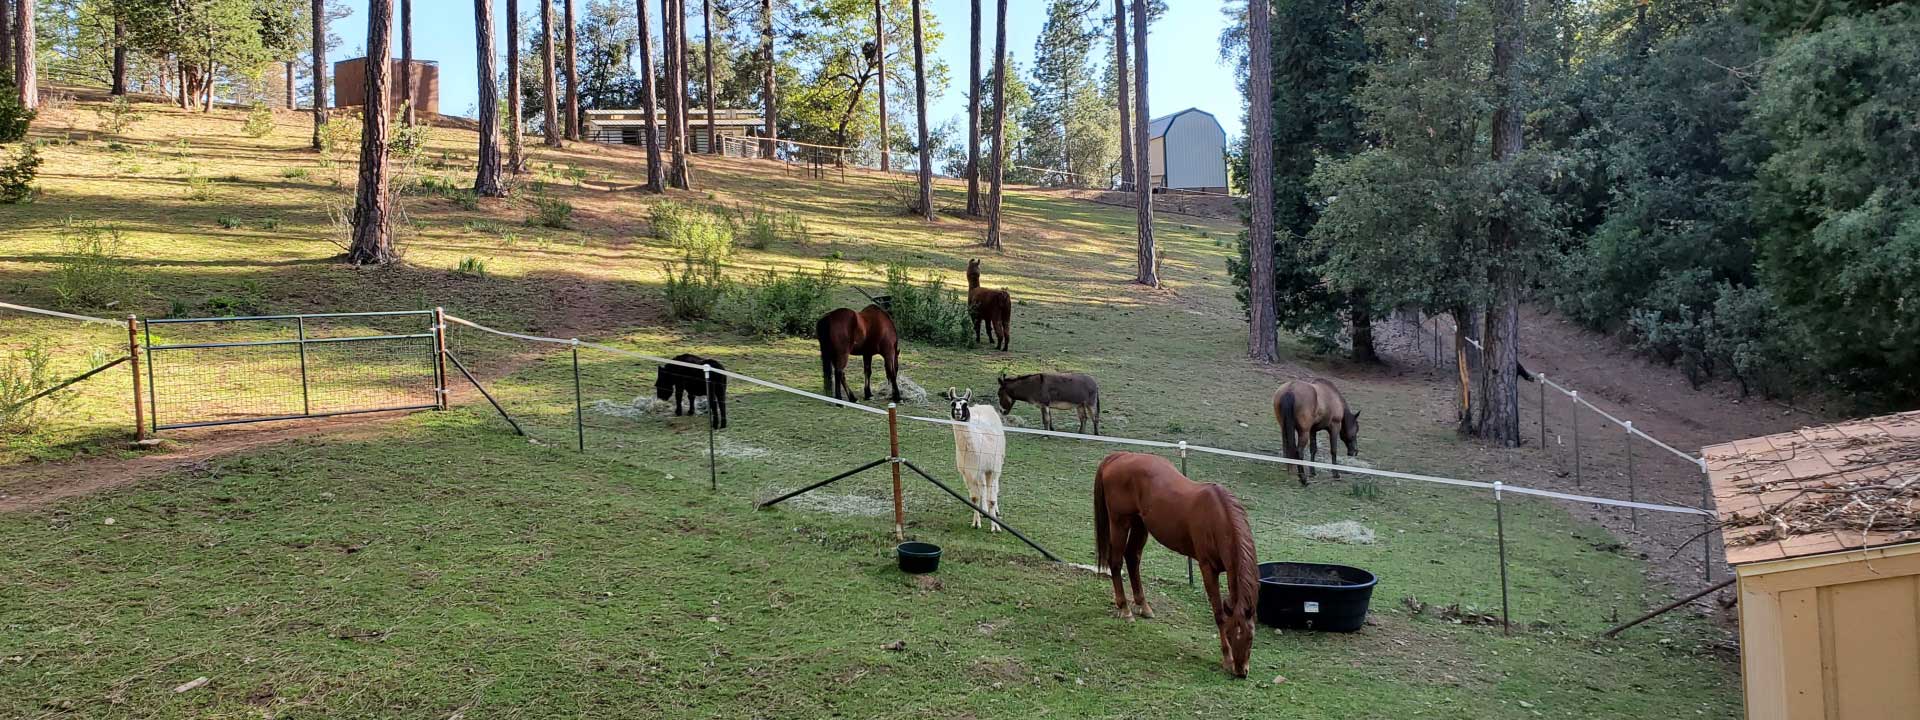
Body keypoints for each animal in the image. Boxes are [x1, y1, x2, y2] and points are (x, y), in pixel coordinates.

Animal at [944, 389, 1006, 529]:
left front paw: (995, 526)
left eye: (964, 404)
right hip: (979, 472)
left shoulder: (992, 469)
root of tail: (982, 406)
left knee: (993, 488)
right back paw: (984, 510)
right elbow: (974, 498)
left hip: (996, 464)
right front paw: (976, 523)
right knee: (983, 488)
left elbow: (992, 499)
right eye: (952, 404)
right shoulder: (968, 473)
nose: (958, 411)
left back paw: (995, 511)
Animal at [1098, 453, 1259, 679]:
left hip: (1140, 524)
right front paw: (1227, 659)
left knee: (1132, 558)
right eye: (1230, 633)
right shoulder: (1208, 568)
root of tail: (1120, 456)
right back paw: (1125, 609)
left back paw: (1143, 606)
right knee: (1116, 561)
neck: (1218, 517)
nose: (1241, 671)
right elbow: (1218, 613)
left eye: (1250, 637)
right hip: (1120, 522)